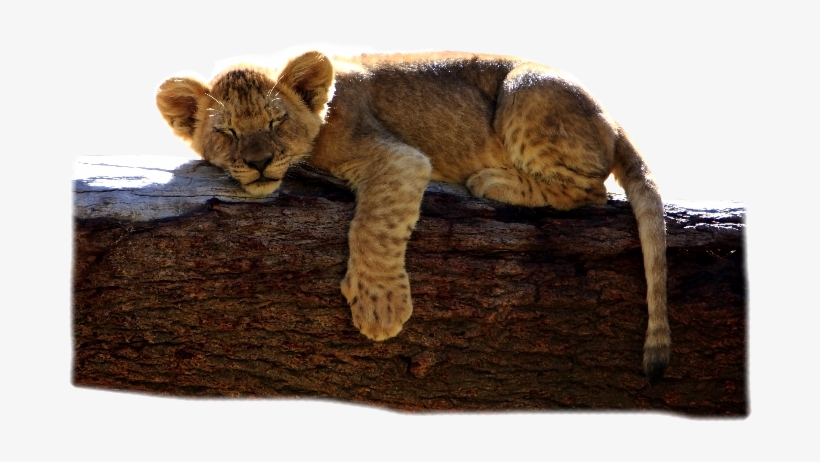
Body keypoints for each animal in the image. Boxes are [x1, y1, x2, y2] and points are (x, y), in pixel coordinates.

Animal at [156, 51, 670, 382]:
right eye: (225, 131)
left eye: (276, 121)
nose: (260, 162)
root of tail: (613, 121)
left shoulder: (399, 157)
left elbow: (375, 225)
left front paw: (380, 309)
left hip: (525, 90)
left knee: (594, 190)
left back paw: (493, 181)